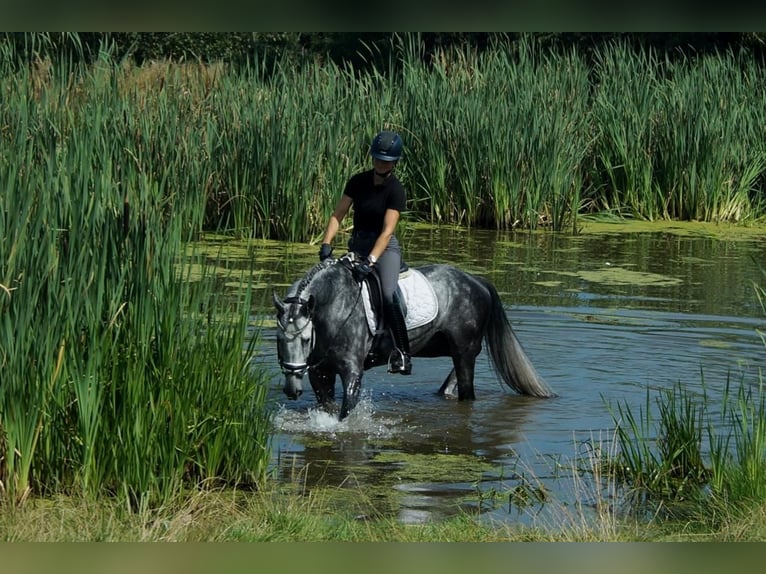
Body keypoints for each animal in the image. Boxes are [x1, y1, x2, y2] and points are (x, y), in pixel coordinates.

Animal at [276, 256, 560, 424]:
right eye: (279, 340)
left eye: (305, 339)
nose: (291, 390)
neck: (334, 304)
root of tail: (477, 281)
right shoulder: (320, 372)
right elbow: (327, 406)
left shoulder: (351, 372)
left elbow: (346, 413)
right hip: (453, 349)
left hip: (464, 350)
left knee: (467, 394)